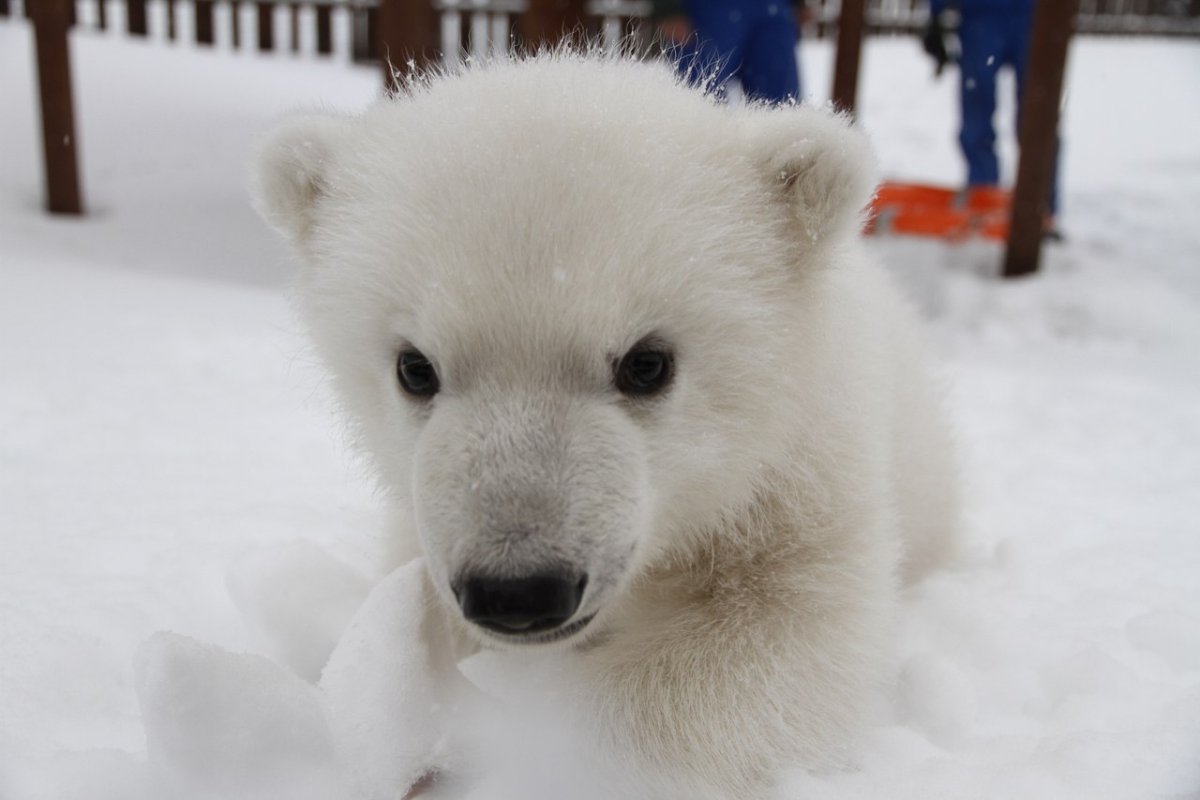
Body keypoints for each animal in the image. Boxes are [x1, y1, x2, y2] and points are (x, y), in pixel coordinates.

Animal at [252, 52, 957, 798]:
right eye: (414, 367)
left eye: (647, 362)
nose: (518, 589)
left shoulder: (797, 482)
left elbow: (787, 642)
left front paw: (528, 757)